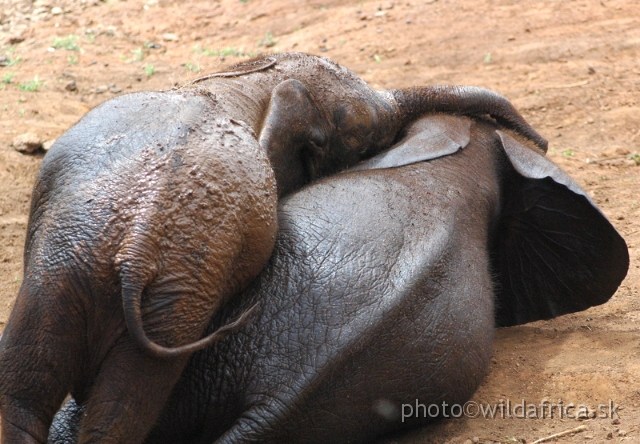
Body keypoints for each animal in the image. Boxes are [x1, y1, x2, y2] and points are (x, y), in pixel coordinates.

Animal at [0, 52, 552, 444]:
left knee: (33, 399)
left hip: (80, 276)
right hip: (157, 295)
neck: (245, 83)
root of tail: (135, 244)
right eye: (368, 139)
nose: (542, 144)